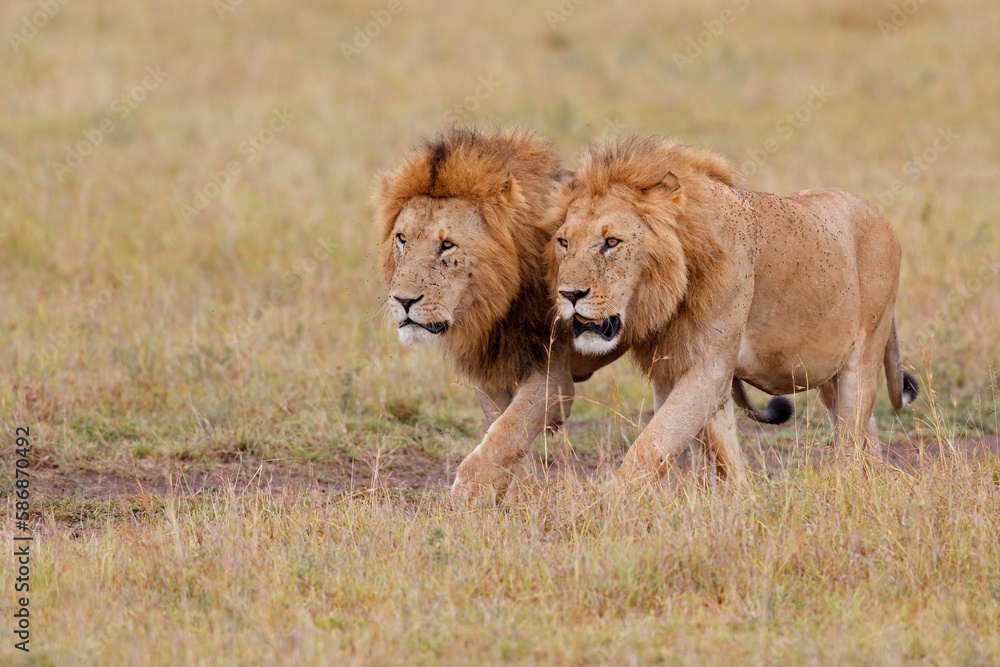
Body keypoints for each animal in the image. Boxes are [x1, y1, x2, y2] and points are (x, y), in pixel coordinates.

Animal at [374, 127, 792, 503]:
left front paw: (471, 490)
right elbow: (503, 433)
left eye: (447, 245)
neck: (489, 305)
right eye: (402, 239)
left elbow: (506, 431)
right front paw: (520, 496)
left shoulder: (553, 379)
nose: (402, 300)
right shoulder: (488, 374)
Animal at [548, 135, 919, 486]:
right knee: (865, 431)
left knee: (850, 436)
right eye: (564, 242)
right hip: (827, 370)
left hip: (864, 354)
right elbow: (713, 451)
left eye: (611, 242)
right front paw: (737, 498)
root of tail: (880, 217)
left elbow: (653, 443)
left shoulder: (709, 367)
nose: (568, 294)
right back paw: (875, 482)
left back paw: (846, 484)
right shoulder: (671, 368)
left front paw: (604, 503)